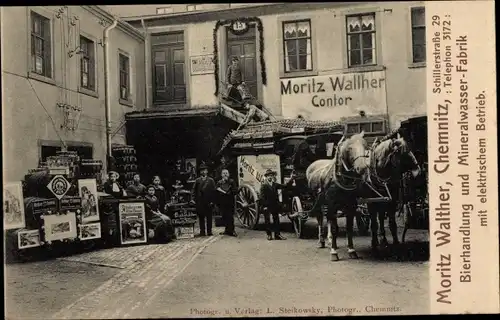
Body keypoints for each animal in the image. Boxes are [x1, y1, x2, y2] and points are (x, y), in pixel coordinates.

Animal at [304, 131, 372, 262]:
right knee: (321, 218)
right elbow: (335, 228)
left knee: (328, 218)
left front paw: (351, 250)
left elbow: (349, 228)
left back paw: (330, 240)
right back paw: (321, 241)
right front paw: (334, 252)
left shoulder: (351, 206)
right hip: (317, 200)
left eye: (365, 146)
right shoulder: (332, 205)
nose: (362, 167)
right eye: (349, 148)